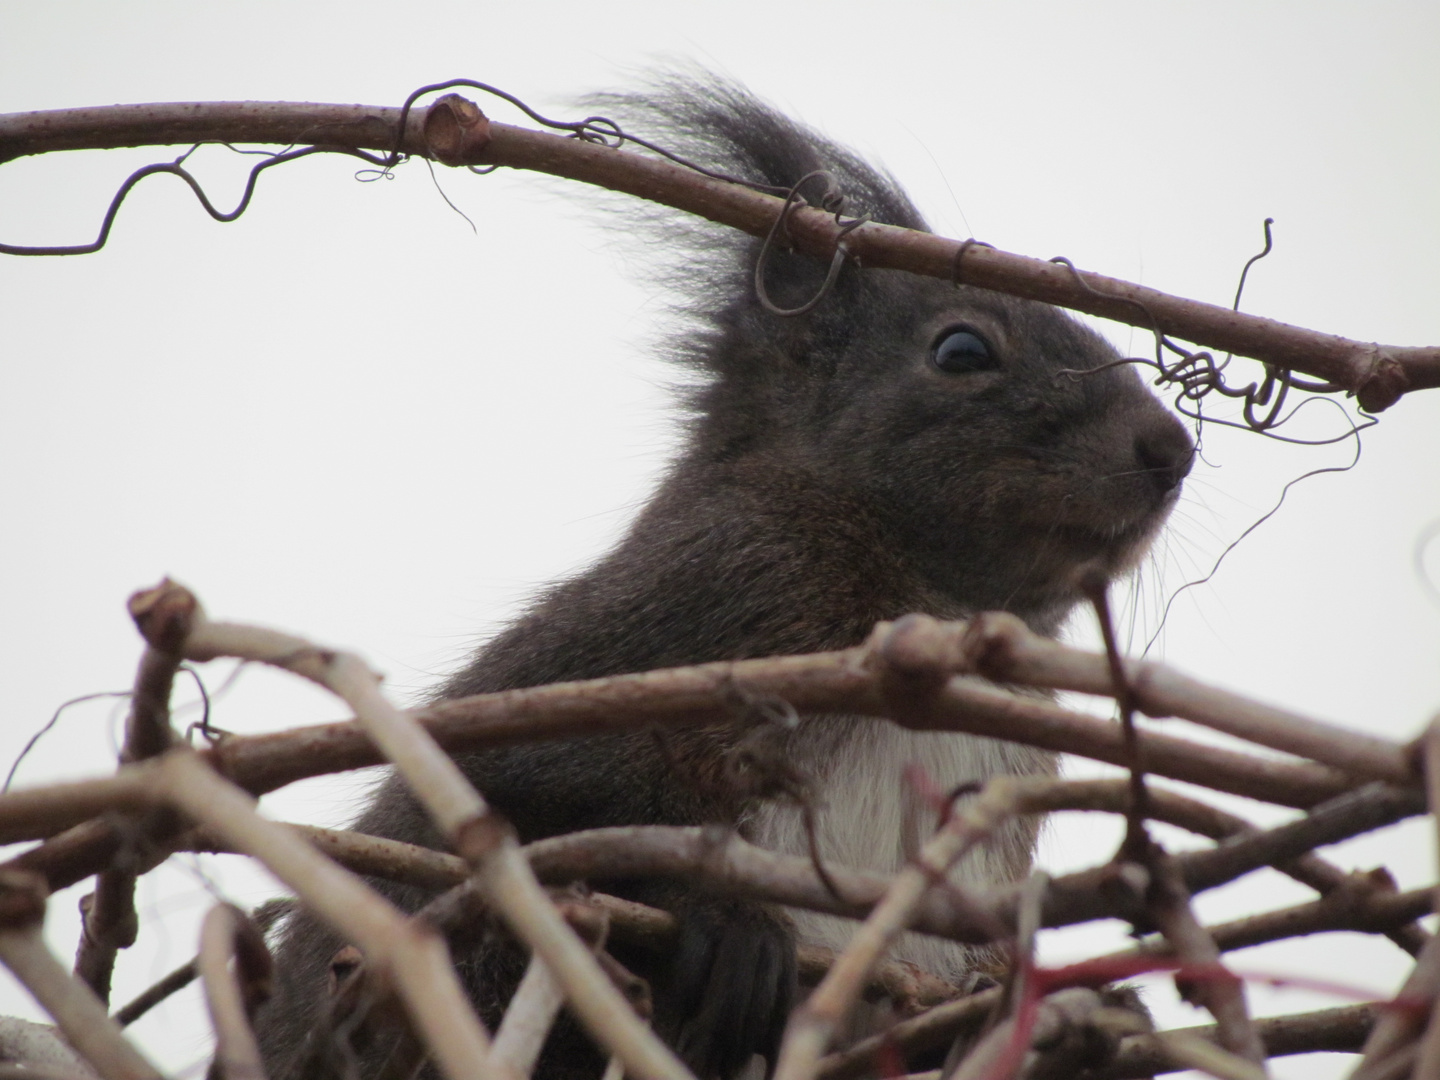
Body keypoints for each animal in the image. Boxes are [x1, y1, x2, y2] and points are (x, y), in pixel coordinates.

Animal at [256, 74, 1192, 1080]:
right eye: (962, 351)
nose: (1172, 448)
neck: (933, 601)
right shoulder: (696, 598)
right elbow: (532, 807)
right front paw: (728, 920)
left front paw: (1050, 1012)